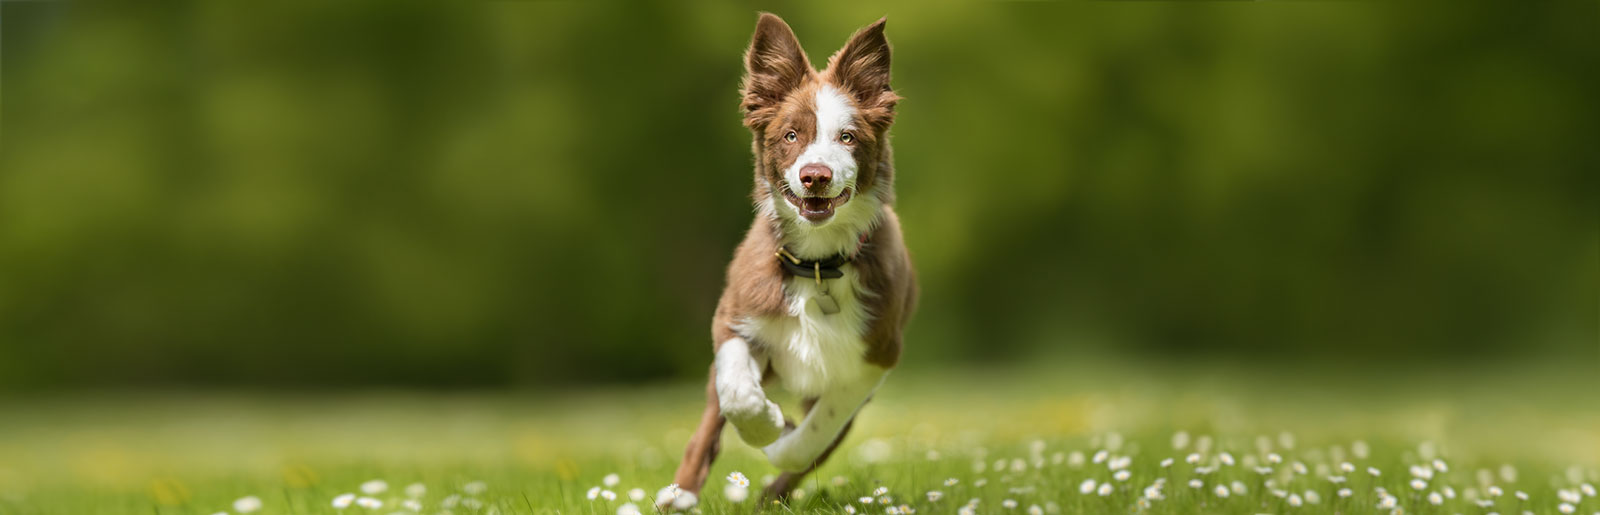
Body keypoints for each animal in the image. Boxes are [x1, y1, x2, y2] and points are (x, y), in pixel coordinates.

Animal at [659, 12, 915, 511]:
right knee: (708, 427)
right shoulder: (734, 316)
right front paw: (767, 425)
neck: (816, 263)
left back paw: (771, 493)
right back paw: (678, 495)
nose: (815, 176)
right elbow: (738, 393)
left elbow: (815, 435)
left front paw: (782, 439)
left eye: (847, 137)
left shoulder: (877, 355)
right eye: (791, 136)